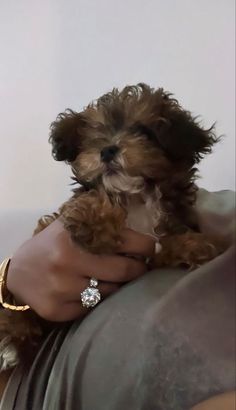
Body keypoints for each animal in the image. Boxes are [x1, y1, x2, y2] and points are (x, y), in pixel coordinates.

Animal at [0, 82, 225, 368]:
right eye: (96, 133)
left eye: (144, 131)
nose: (107, 150)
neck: (136, 197)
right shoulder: (56, 220)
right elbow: (88, 201)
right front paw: (92, 221)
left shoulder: (154, 246)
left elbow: (168, 243)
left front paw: (195, 245)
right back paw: (10, 342)